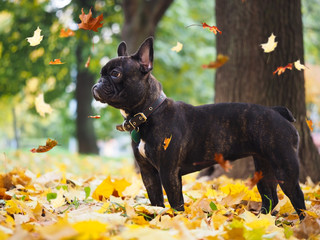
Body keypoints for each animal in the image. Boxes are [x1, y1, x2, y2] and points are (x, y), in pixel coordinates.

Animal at [91, 37, 306, 219]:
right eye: (101, 74)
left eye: (115, 74)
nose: (98, 83)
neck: (149, 112)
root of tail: (276, 111)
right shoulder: (148, 173)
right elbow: (156, 200)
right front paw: (154, 218)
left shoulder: (168, 172)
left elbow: (176, 202)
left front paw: (175, 221)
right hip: (263, 165)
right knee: (270, 196)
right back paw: (260, 220)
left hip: (284, 166)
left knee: (297, 197)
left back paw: (304, 223)